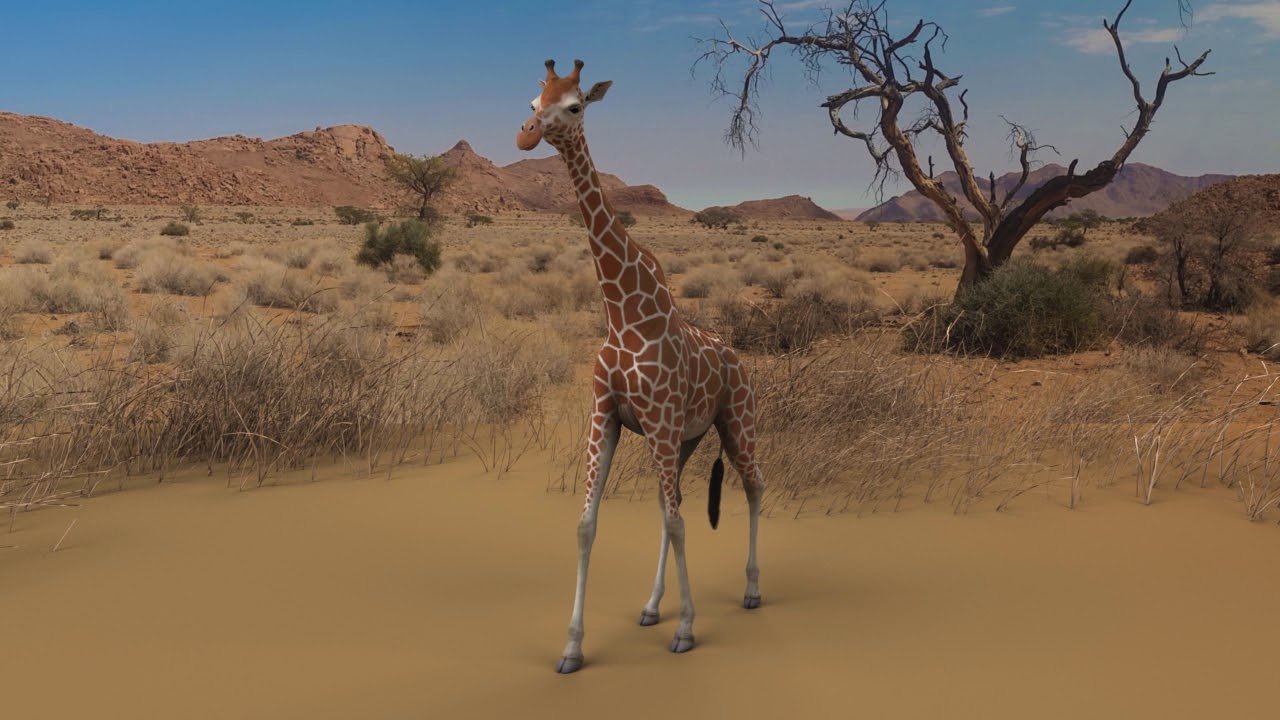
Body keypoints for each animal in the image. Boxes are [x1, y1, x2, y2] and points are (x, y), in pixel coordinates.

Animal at [517, 58, 765, 674]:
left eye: (575, 105)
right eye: (533, 102)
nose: (526, 135)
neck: (626, 314)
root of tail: (738, 358)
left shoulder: (658, 420)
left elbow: (678, 523)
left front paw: (687, 629)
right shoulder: (608, 415)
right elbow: (589, 523)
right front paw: (572, 648)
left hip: (736, 421)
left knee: (754, 486)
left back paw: (751, 590)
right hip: (686, 438)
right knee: (667, 503)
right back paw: (652, 606)